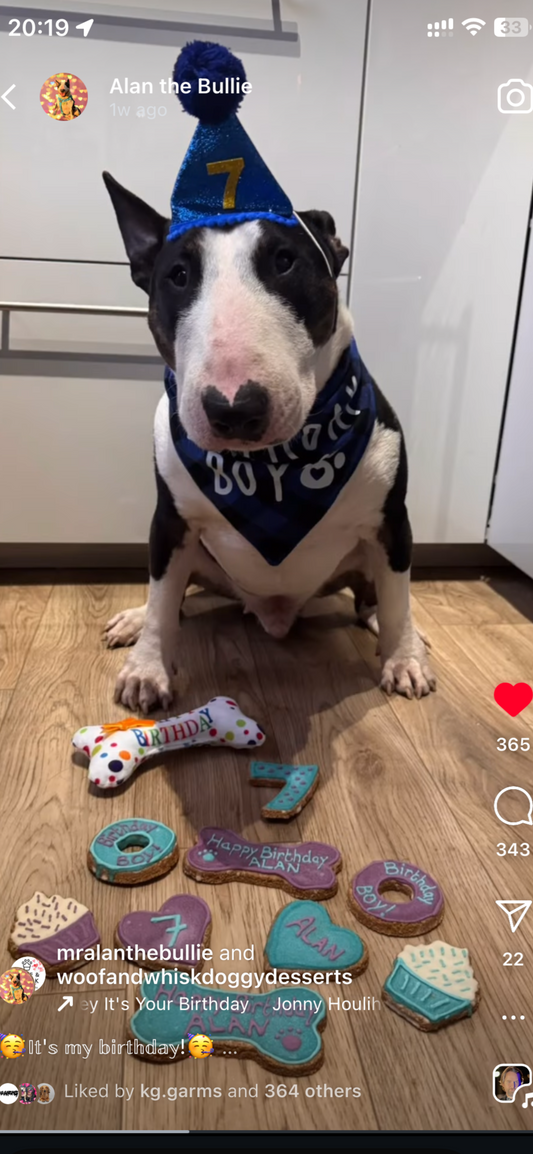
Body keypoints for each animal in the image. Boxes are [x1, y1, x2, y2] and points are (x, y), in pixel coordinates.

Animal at [103, 171, 435, 713]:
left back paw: (398, 632)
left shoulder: (392, 521)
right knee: (171, 595)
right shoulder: (169, 521)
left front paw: (404, 659)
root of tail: (274, 609)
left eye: (285, 261)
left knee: (378, 597)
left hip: (371, 554)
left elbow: (397, 597)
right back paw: (135, 617)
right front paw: (147, 670)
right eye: (178, 275)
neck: (272, 470)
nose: (234, 409)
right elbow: (163, 600)